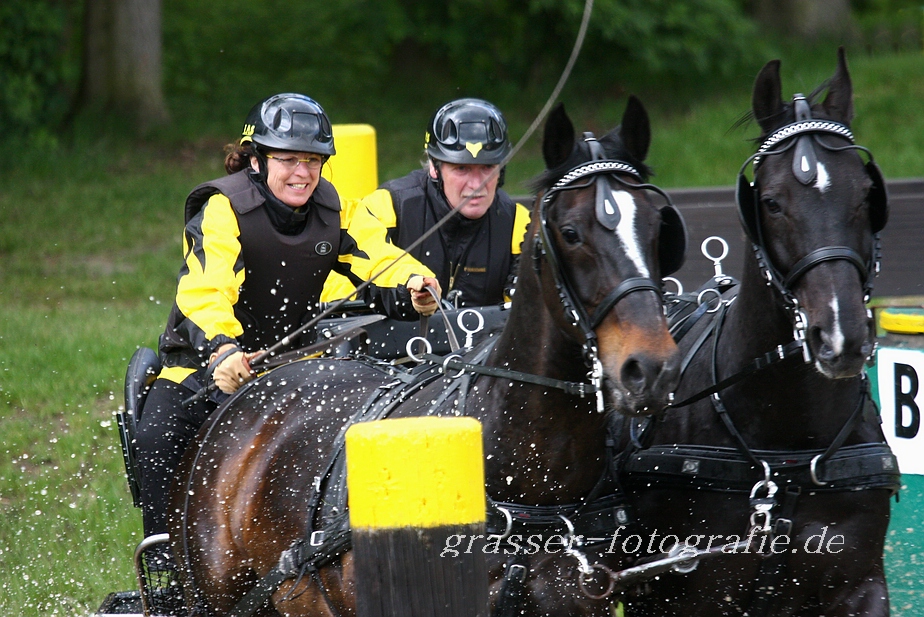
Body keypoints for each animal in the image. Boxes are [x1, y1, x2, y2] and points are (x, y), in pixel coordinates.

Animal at [616, 49, 900, 616]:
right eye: (770, 201)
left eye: (866, 193)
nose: (841, 336)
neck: (788, 452)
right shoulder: (692, 593)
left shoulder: (859, 584)